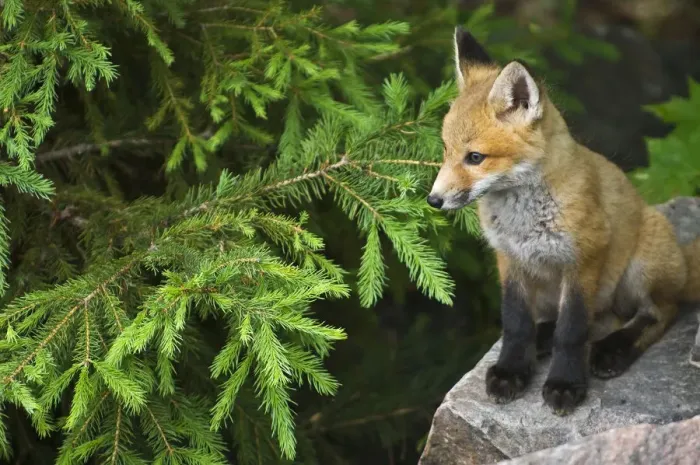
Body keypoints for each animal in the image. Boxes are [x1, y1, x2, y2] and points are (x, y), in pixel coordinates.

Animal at [427, 26, 700, 415]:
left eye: (475, 157)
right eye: (446, 150)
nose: (433, 200)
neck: (524, 223)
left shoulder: (583, 260)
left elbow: (571, 332)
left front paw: (565, 384)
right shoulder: (510, 259)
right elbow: (516, 324)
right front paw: (512, 370)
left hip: (640, 269)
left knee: (657, 313)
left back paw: (613, 351)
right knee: (598, 318)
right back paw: (545, 341)